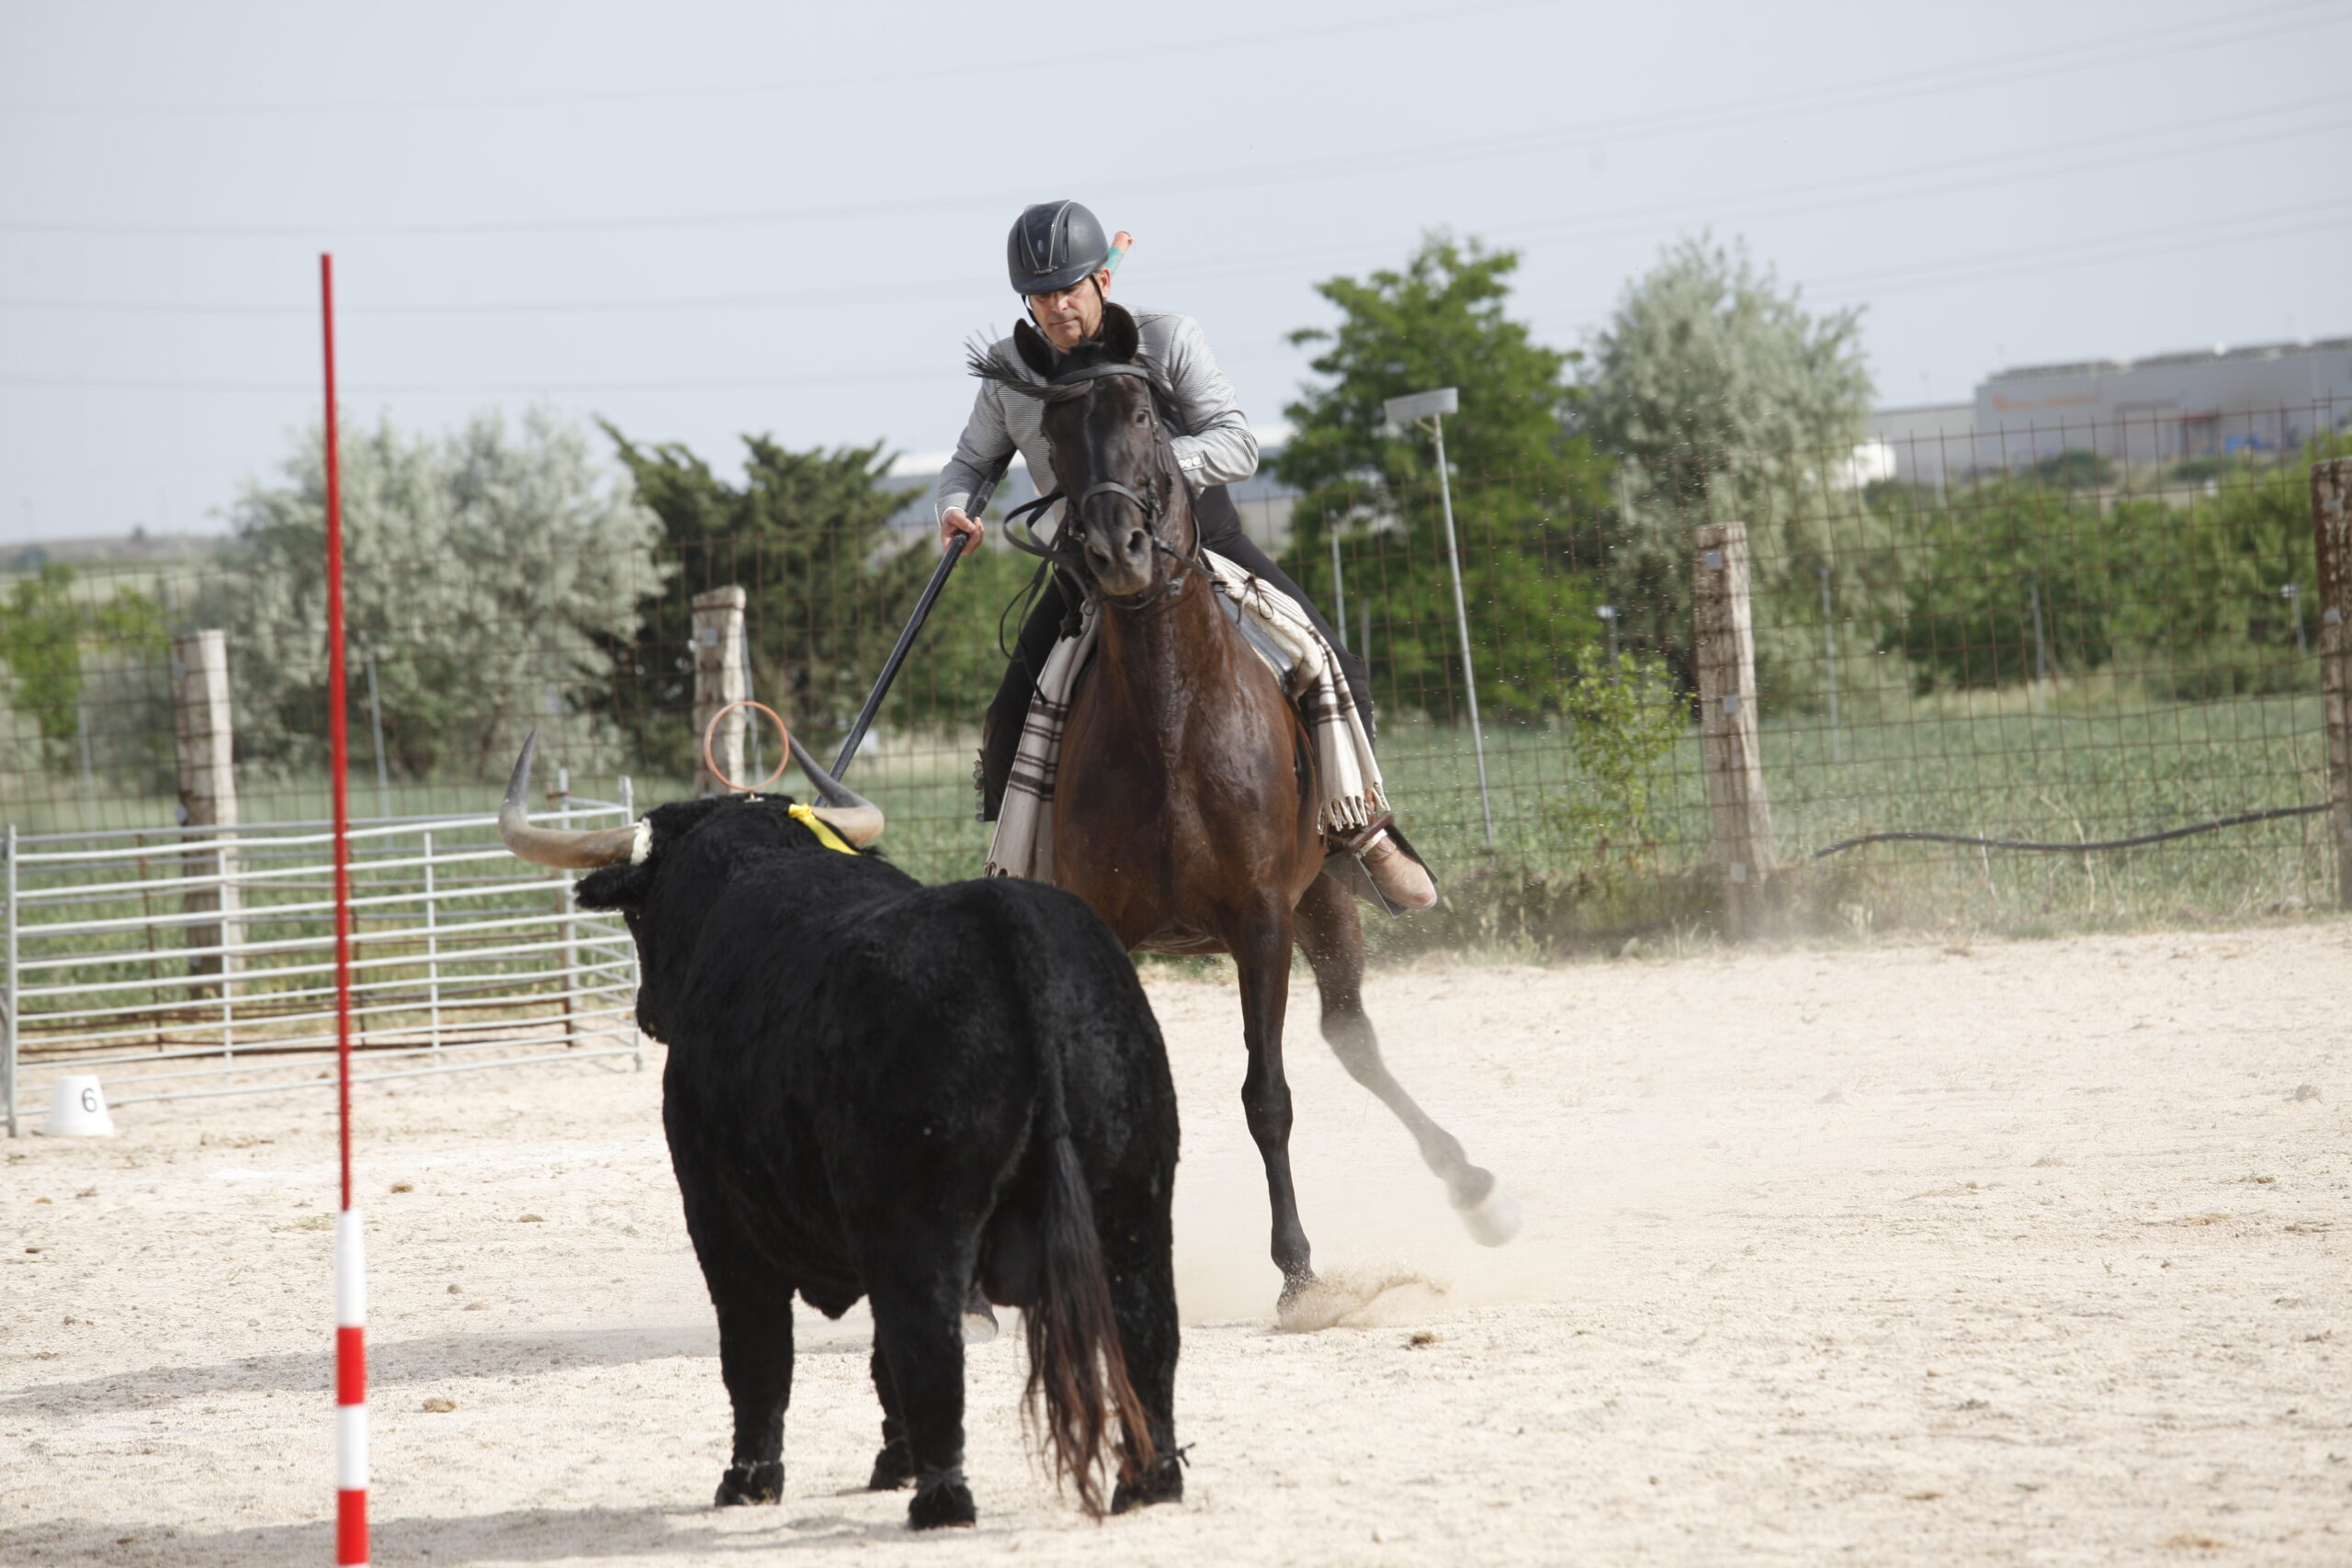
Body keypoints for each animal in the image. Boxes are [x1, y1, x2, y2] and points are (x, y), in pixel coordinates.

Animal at [505, 742, 1185, 1523]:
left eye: (638, 910)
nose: (647, 1010)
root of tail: (1006, 928)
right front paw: (889, 1458)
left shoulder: (721, 1221)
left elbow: (758, 1356)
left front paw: (750, 1478)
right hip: (1133, 1204)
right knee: (1147, 1334)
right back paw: (1148, 1481)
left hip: (922, 1225)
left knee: (928, 1344)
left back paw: (940, 1500)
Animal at [968, 300, 1505, 1306]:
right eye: (1051, 434)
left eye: (1145, 416)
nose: (1115, 551)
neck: (1172, 719)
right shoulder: (1111, 929)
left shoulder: (1262, 917)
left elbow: (1268, 1095)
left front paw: (1297, 1269)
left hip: (1324, 896)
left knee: (1350, 1038)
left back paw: (1476, 1190)